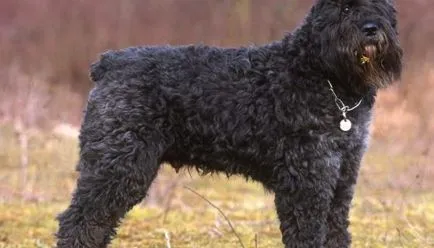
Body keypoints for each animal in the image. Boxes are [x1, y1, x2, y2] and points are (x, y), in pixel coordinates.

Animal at [56, 0, 402, 247]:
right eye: (345, 7)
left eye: (379, 4)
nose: (371, 28)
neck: (322, 74)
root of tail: (109, 63)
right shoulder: (306, 181)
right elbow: (307, 233)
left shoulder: (342, 177)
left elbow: (335, 231)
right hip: (118, 167)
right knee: (79, 222)